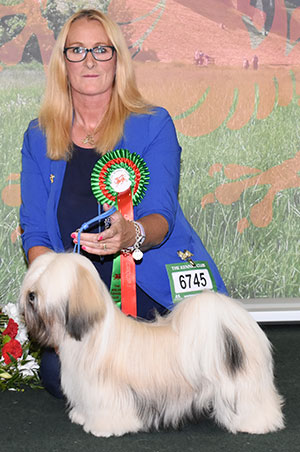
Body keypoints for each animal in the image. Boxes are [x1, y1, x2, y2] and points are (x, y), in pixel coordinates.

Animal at [19, 252, 284, 436]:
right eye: (36, 277)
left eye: (49, 282)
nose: (31, 295)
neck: (90, 335)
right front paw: (83, 417)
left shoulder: (108, 392)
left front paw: (103, 427)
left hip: (242, 384)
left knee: (253, 403)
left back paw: (257, 423)